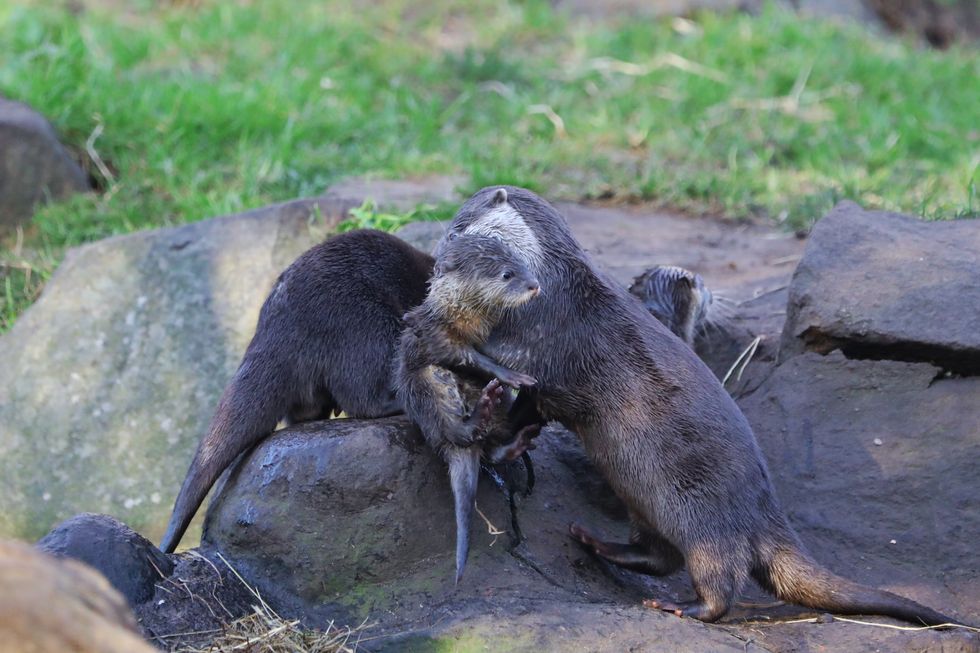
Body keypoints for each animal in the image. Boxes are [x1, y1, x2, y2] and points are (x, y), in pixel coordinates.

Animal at [396, 234, 544, 580]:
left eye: (522, 265)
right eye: (507, 274)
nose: (534, 285)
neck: (463, 318)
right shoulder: (438, 337)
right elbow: (472, 358)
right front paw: (513, 374)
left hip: (496, 414)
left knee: (492, 447)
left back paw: (517, 432)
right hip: (425, 388)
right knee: (456, 432)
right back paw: (479, 414)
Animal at [440, 185, 960, 628]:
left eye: (460, 227)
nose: (444, 244)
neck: (549, 287)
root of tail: (764, 511)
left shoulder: (538, 344)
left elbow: (513, 379)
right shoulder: (546, 386)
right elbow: (527, 413)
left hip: (703, 519)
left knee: (719, 579)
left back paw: (684, 607)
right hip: (648, 505)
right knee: (659, 555)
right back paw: (598, 544)